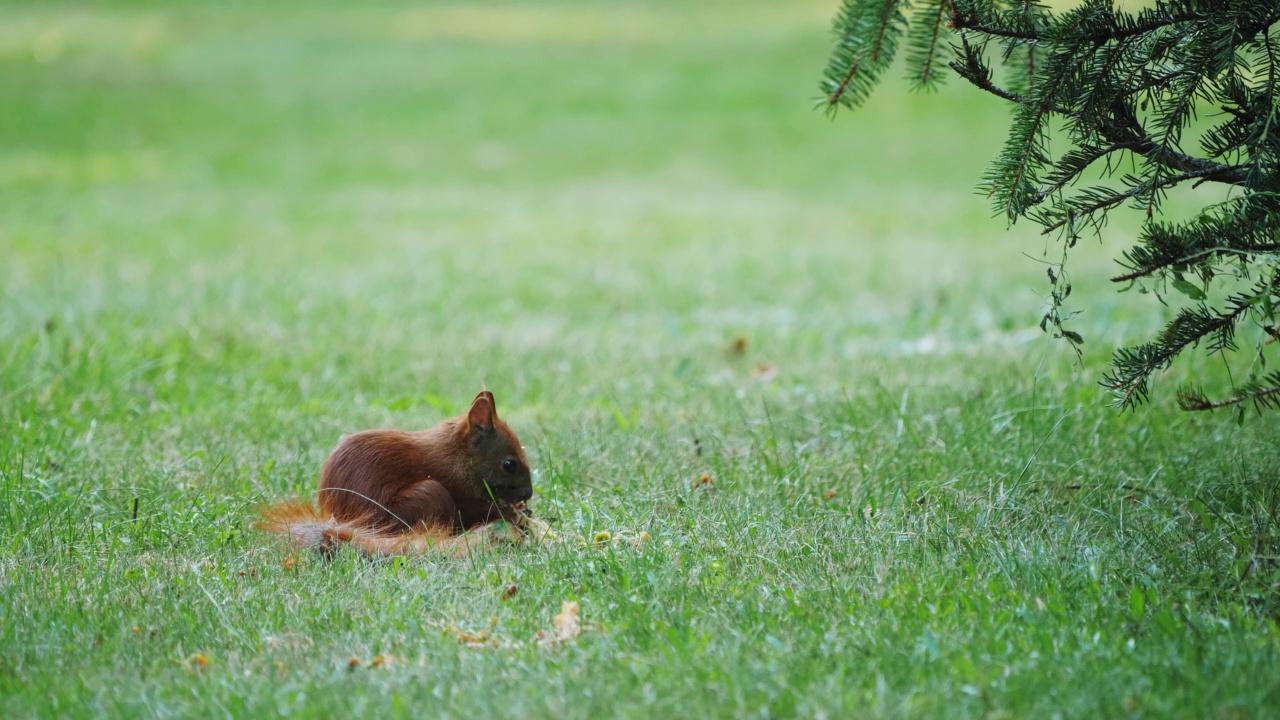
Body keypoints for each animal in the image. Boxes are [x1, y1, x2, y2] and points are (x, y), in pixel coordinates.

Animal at [257, 392, 547, 556]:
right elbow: (473, 511)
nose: (528, 493)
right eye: (509, 464)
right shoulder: (454, 485)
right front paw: (510, 513)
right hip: (427, 495)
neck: (456, 456)